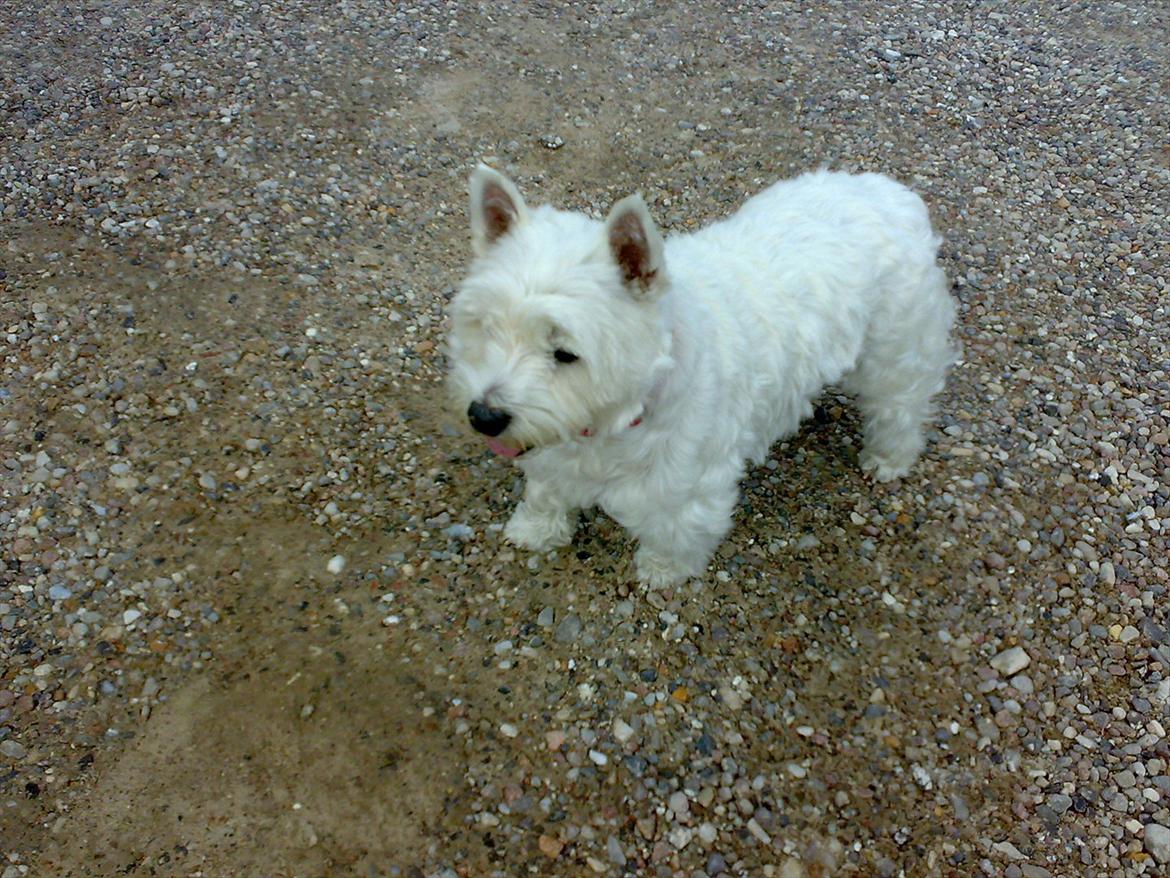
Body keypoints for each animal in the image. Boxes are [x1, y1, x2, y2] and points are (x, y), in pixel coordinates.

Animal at [442, 166, 954, 592]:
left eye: (565, 353)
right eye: (486, 328)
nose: (484, 416)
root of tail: (893, 195)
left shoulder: (687, 485)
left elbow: (675, 531)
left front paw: (662, 571)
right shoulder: (554, 445)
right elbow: (546, 488)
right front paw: (534, 528)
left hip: (896, 352)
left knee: (901, 405)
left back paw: (888, 458)